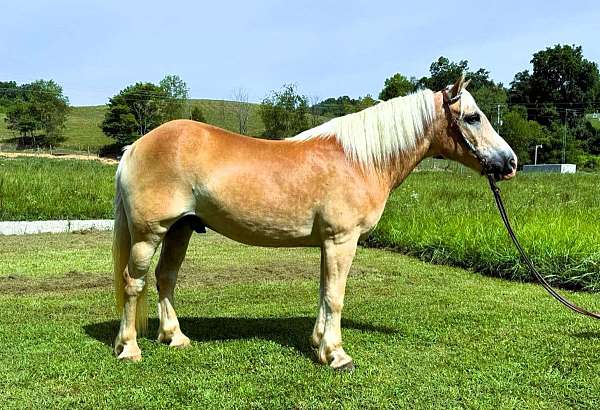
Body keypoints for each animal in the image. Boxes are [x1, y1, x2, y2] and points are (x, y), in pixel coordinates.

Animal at [111, 73, 516, 368]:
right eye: (473, 117)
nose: (510, 163)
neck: (359, 160)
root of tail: (135, 147)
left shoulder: (329, 243)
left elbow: (324, 293)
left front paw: (319, 343)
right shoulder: (342, 240)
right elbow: (336, 297)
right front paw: (336, 355)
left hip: (180, 229)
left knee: (165, 278)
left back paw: (175, 337)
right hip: (149, 234)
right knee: (134, 282)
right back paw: (129, 348)